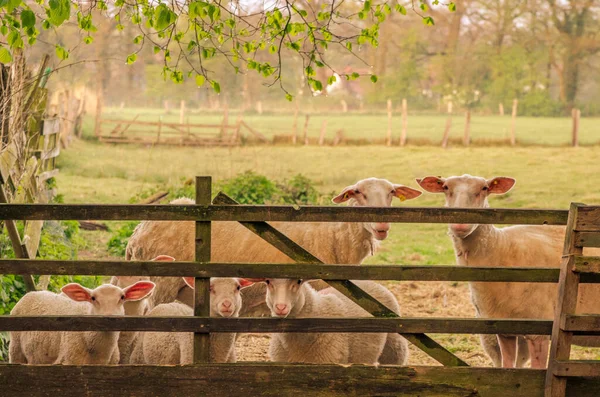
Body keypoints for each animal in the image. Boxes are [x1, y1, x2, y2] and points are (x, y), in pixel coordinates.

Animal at [418, 174, 600, 368]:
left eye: (484, 188)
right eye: (445, 187)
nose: (460, 224)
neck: (502, 248)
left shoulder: (538, 331)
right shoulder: (504, 329)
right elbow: (507, 366)